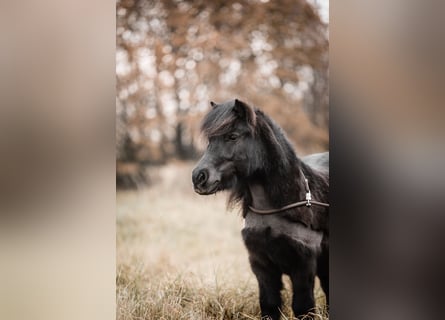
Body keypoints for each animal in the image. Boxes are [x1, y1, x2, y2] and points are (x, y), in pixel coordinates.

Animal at [191, 99, 326, 318]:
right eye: (210, 140)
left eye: (233, 136)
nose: (198, 178)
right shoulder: (261, 266)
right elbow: (269, 305)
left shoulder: (303, 267)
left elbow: (303, 307)